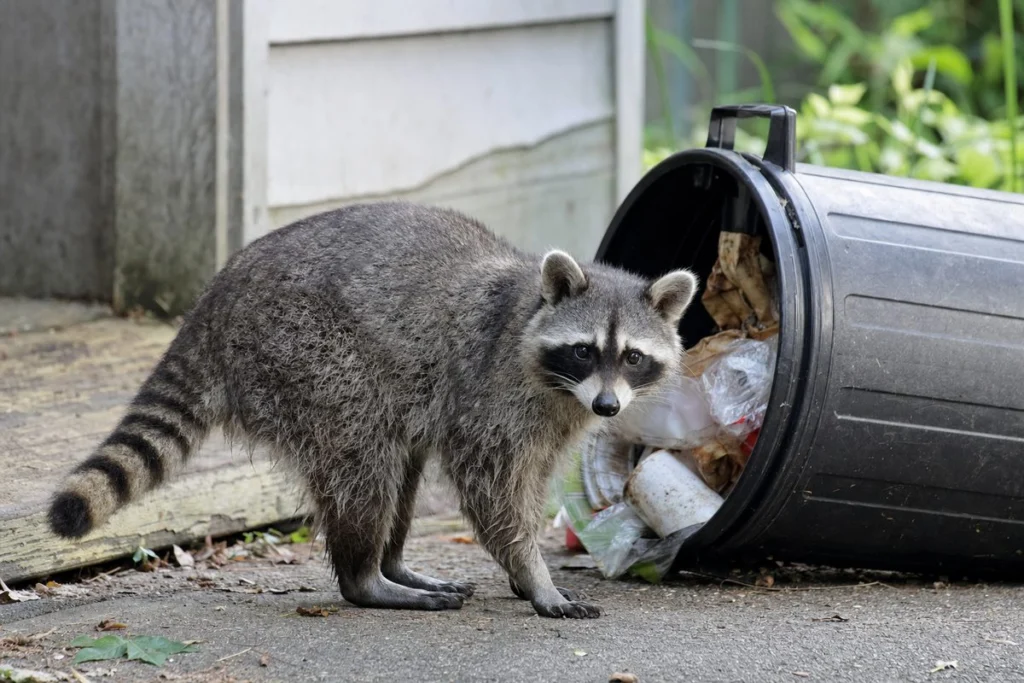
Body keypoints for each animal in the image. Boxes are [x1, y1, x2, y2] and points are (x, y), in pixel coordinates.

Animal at [48, 202, 697, 619]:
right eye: (585, 350)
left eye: (632, 357)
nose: (609, 405)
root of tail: (214, 302)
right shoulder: (491, 394)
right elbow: (495, 490)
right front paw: (534, 573)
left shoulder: (554, 417)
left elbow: (530, 482)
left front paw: (523, 571)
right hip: (308, 357)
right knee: (364, 461)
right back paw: (366, 577)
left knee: (400, 465)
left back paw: (393, 563)